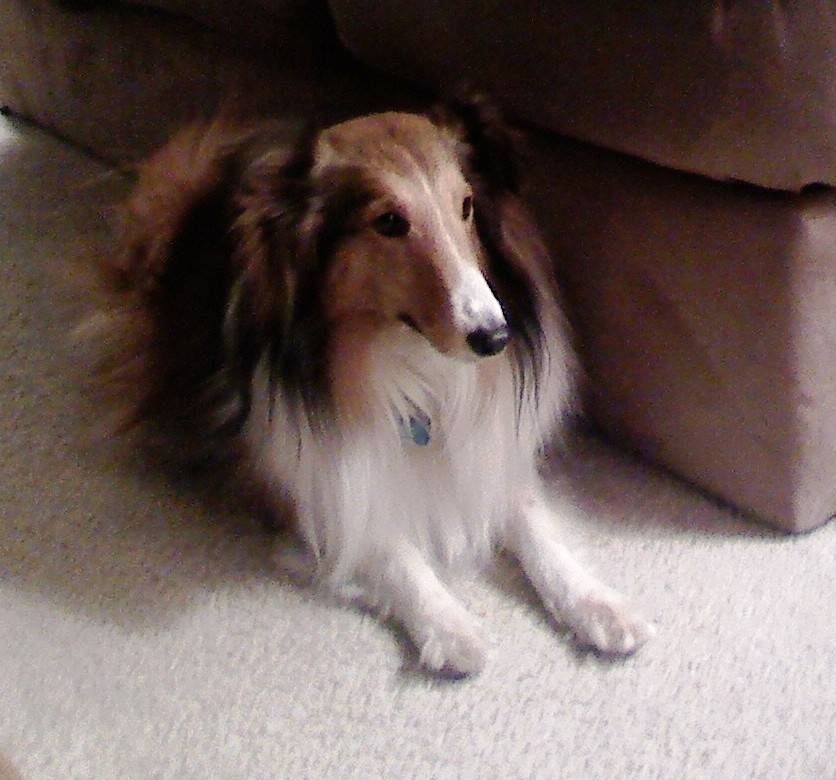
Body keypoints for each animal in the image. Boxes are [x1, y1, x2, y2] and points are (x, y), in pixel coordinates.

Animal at [89, 98, 654, 676]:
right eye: (388, 222)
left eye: (467, 205)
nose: (495, 336)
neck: (408, 361)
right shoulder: (306, 482)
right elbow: (387, 546)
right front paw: (449, 625)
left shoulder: (488, 452)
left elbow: (537, 528)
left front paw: (599, 606)